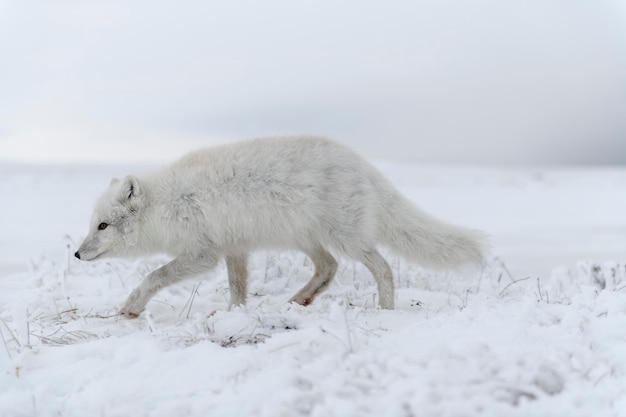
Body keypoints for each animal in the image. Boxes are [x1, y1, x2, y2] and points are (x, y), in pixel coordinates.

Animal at [75, 136, 486, 316]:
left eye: (103, 226)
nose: (77, 254)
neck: (168, 204)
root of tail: (363, 164)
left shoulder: (203, 254)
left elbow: (153, 276)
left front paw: (131, 308)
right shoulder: (233, 248)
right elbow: (238, 288)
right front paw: (234, 314)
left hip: (346, 238)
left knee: (382, 268)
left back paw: (386, 310)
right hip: (308, 239)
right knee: (329, 268)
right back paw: (298, 301)